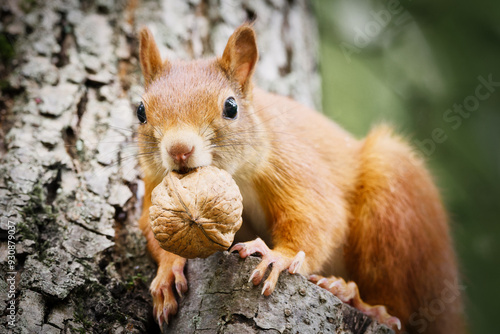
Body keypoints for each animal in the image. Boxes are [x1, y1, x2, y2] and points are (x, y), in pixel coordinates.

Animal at [136, 24, 464, 334]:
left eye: (231, 107)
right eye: (140, 111)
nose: (179, 150)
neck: (234, 176)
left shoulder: (290, 162)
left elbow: (317, 215)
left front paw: (277, 256)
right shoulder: (154, 186)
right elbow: (152, 228)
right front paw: (168, 269)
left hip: (397, 213)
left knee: (401, 308)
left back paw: (361, 302)